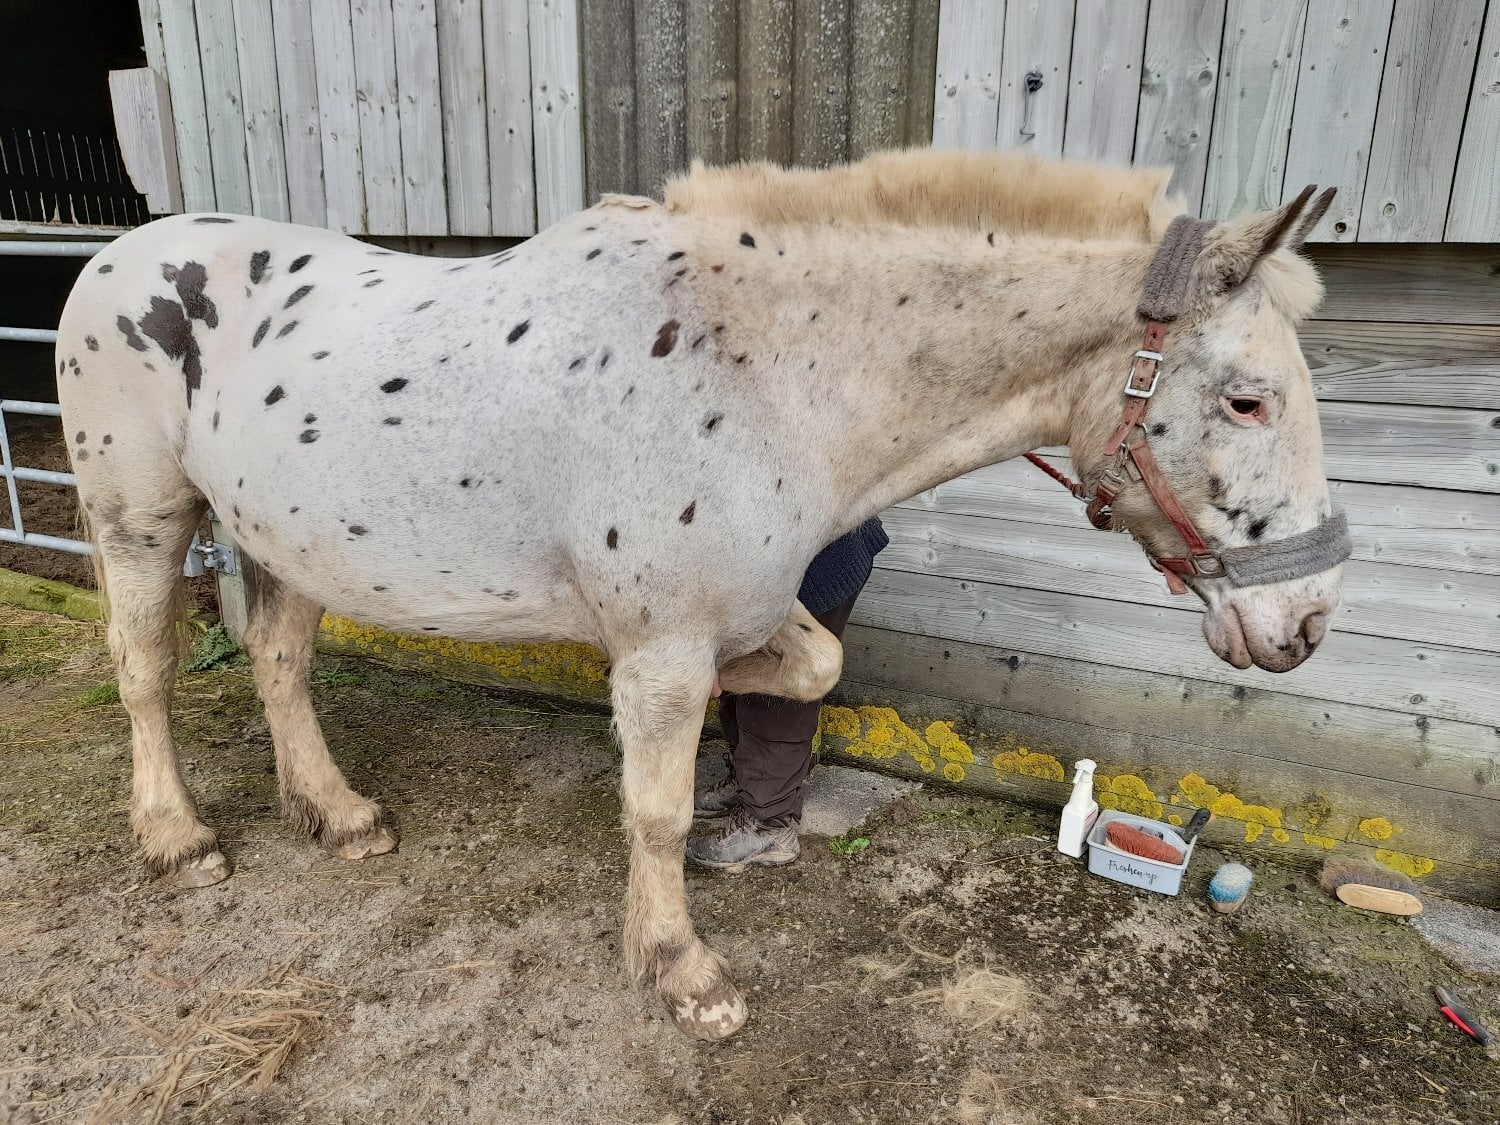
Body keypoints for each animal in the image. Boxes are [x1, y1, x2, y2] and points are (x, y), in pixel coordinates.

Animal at [56, 148, 1347, 1041]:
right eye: (1246, 401)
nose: (1305, 625)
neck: (761, 367)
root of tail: (117, 256)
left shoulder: (727, 616)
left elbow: (812, 666)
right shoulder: (664, 646)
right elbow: (659, 811)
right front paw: (684, 973)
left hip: (285, 540)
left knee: (279, 663)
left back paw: (337, 814)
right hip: (142, 523)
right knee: (145, 673)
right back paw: (178, 839)